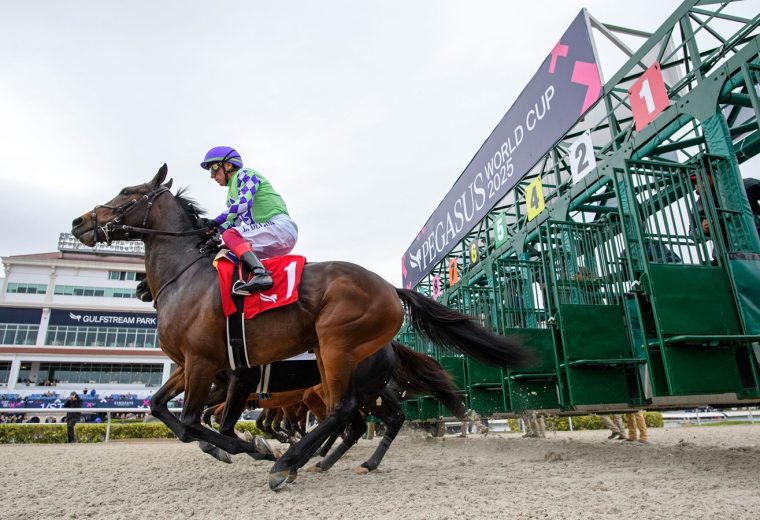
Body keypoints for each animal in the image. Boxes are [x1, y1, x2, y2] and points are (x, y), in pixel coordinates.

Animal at [71, 165, 536, 490]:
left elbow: (191, 423)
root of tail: (390, 286)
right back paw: (322, 460)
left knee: (346, 413)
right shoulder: (192, 365)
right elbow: (162, 408)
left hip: (337, 348)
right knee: (358, 418)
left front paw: (253, 450)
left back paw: (290, 463)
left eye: (128, 193)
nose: (79, 222)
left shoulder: (207, 365)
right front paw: (244, 447)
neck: (186, 277)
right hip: (344, 367)